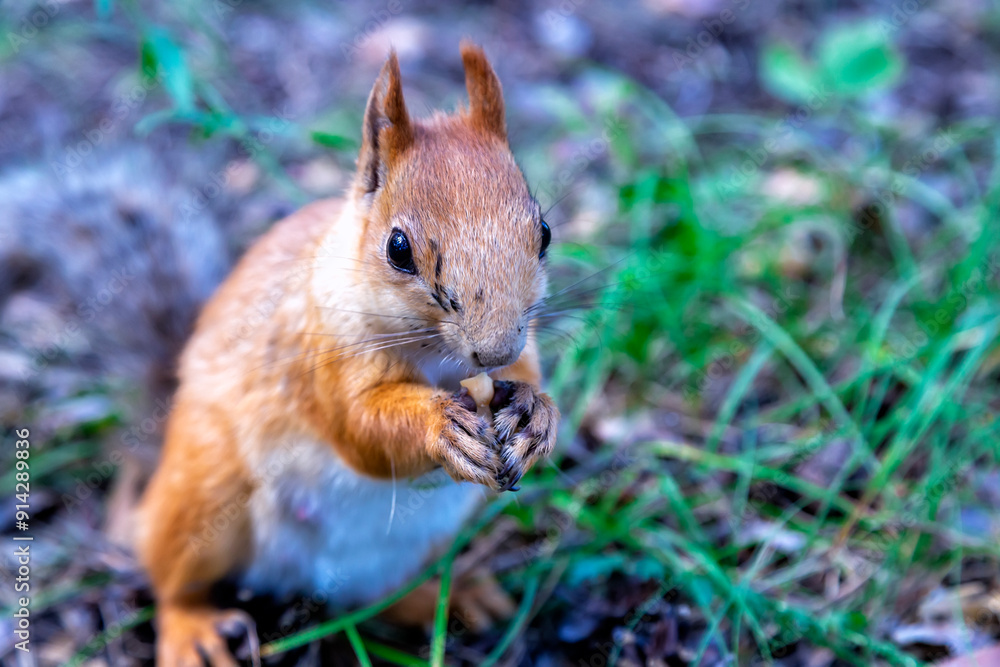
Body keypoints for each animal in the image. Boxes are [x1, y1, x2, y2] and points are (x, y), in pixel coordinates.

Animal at [136, 42, 560, 666]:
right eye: (398, 248)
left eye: (545, 232)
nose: (492, 350)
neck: (439, 360)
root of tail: (302, 578)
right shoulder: (321, 350)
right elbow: (360, 429)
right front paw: (440, 426)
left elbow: (530, 378)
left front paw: (535, 413)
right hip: (204, 494)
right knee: (172, 583)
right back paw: (190, 632)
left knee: (383, 600)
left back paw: (457, 594)